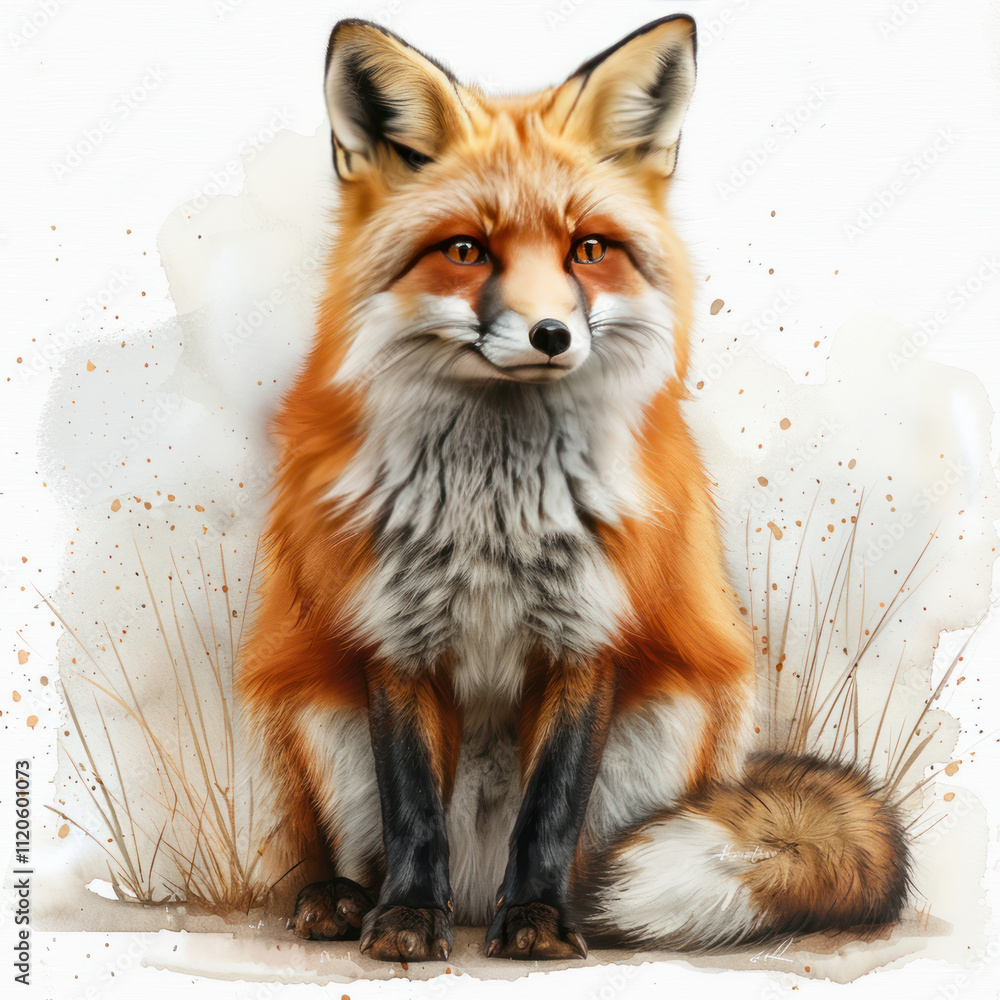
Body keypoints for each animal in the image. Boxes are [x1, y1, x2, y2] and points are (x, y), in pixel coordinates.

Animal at [236, 15, 910, 962]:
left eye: (587, 250)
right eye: (467, 250)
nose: (551, 334)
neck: (493, 510)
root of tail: (473, 888)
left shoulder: (590, 634)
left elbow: (550, 806)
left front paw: (538, 922)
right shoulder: (395, 637)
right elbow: (413, 809)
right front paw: (404, 919)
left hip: (674, 714)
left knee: (600, 853)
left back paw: (576, 912)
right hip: (311, 711)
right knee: (350, 842)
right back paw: (342, 899)